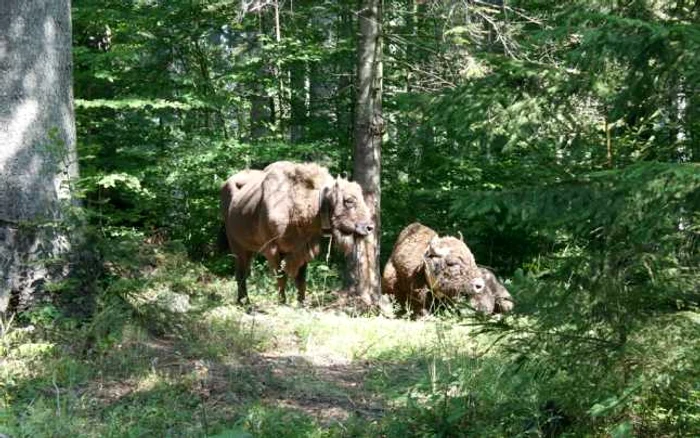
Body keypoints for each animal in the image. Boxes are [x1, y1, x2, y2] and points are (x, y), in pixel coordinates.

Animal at [221, 161, 374, 304]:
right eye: (349, 200)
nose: (369, 227)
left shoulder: (302, 249)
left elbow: (301, 280)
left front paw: (302, 302)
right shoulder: (273, 250)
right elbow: (281, 277)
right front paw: (282, 302)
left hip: (248, 248)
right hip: (237, 246)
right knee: (241, 273)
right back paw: (244, 302)